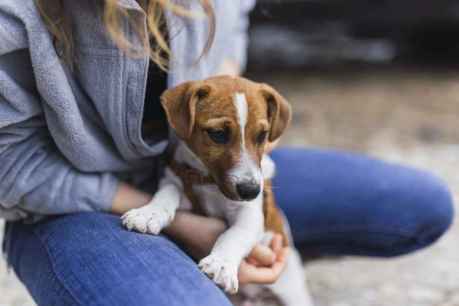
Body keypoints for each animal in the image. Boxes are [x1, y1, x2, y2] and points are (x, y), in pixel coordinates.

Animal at [122, 74, 314, 306]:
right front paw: (149, 213)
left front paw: (221, 263)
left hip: (293, 292)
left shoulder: (251, 213)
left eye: (262, 135)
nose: (251, 191)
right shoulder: (181, 183)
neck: (209, 183)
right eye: (218, 134)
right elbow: (168, 192)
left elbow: (235, 234)